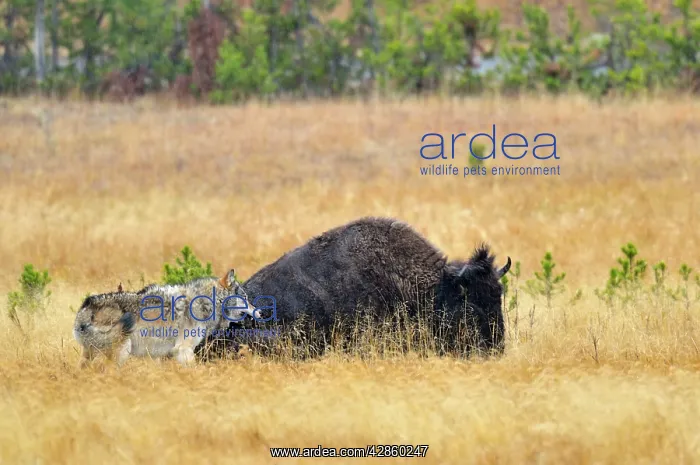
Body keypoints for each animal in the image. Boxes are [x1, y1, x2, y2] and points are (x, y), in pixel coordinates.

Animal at [73, 269, 258, 368]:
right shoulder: (183, 349)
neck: (205, 302)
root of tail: (86, 306)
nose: (260, 312)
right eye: (245, 298)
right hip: (122, 351)